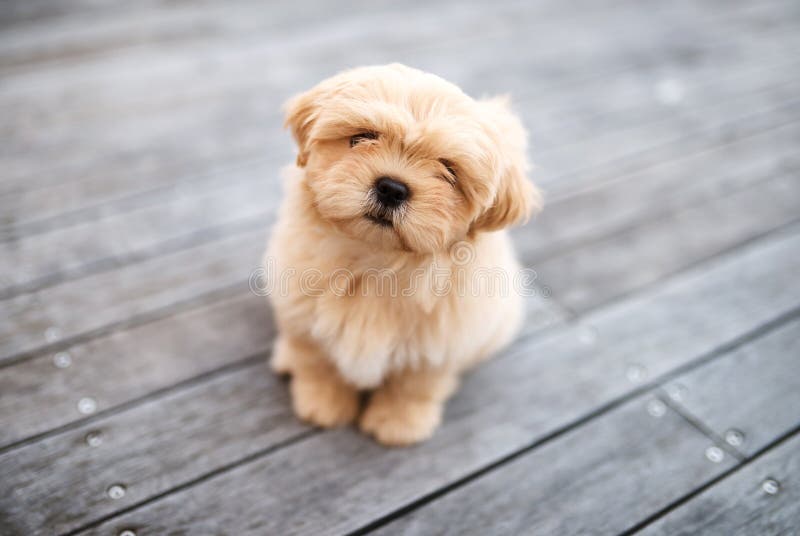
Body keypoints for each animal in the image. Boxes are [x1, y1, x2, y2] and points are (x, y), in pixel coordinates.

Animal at [266, 65, 540, 446]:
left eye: (449, 170)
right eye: (362, 137)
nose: (392, 188)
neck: (378, 260)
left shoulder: (438, 343)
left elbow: (413, 386)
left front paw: (398, 422)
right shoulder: (300, 313)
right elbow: (317, 362)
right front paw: (323, 402)